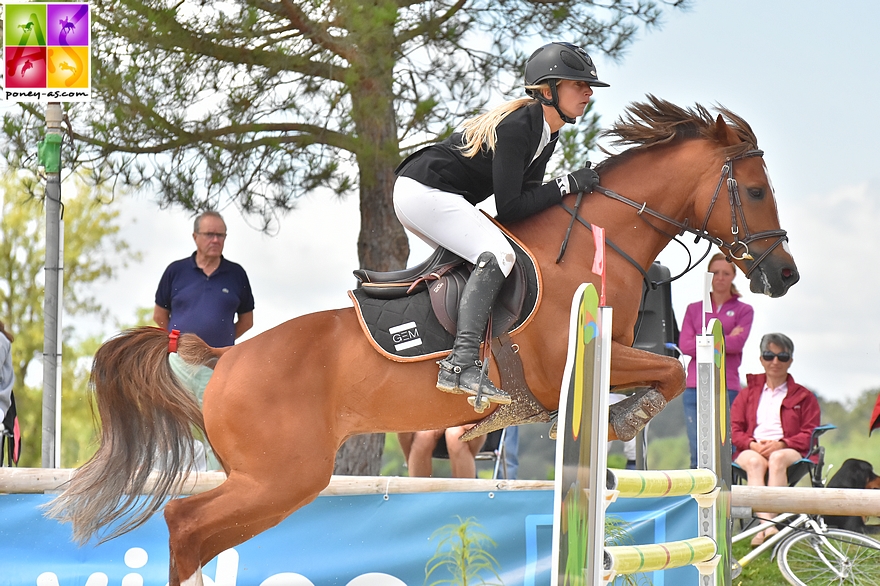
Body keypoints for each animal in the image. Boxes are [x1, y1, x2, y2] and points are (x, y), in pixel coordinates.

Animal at [48, 97, 796, 584]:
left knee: (199, 532)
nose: (783, 275)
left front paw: (620, 416)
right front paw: (625, 417)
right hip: (281, 476)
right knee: (186, 524)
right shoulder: (566, 364)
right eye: (757, 191)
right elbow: (667, 370)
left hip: (270, 480)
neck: (591, 241)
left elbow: (670, 367)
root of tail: (226, 358)